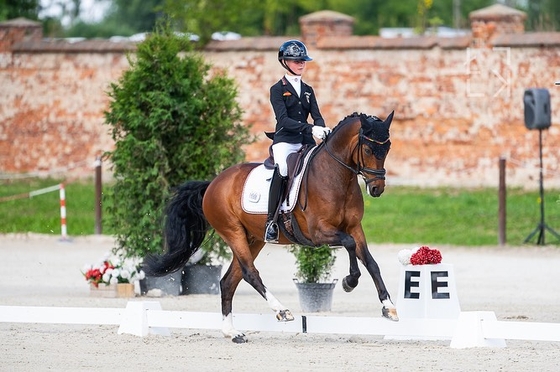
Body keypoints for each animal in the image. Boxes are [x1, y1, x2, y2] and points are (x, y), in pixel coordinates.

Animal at [144, 110, 398, 342]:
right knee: (250, 273)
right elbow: (349, 244)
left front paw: (389, 307)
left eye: (387, 149)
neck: (336, 176)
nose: (377, 189)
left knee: (228, 281)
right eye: (368, 150)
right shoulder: (319, 233)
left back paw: (232, 332)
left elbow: (371, 262)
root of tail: (213, 183)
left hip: (254, 239)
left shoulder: (355, 227)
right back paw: (282, 311)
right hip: (233, 232)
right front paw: (349, 282)